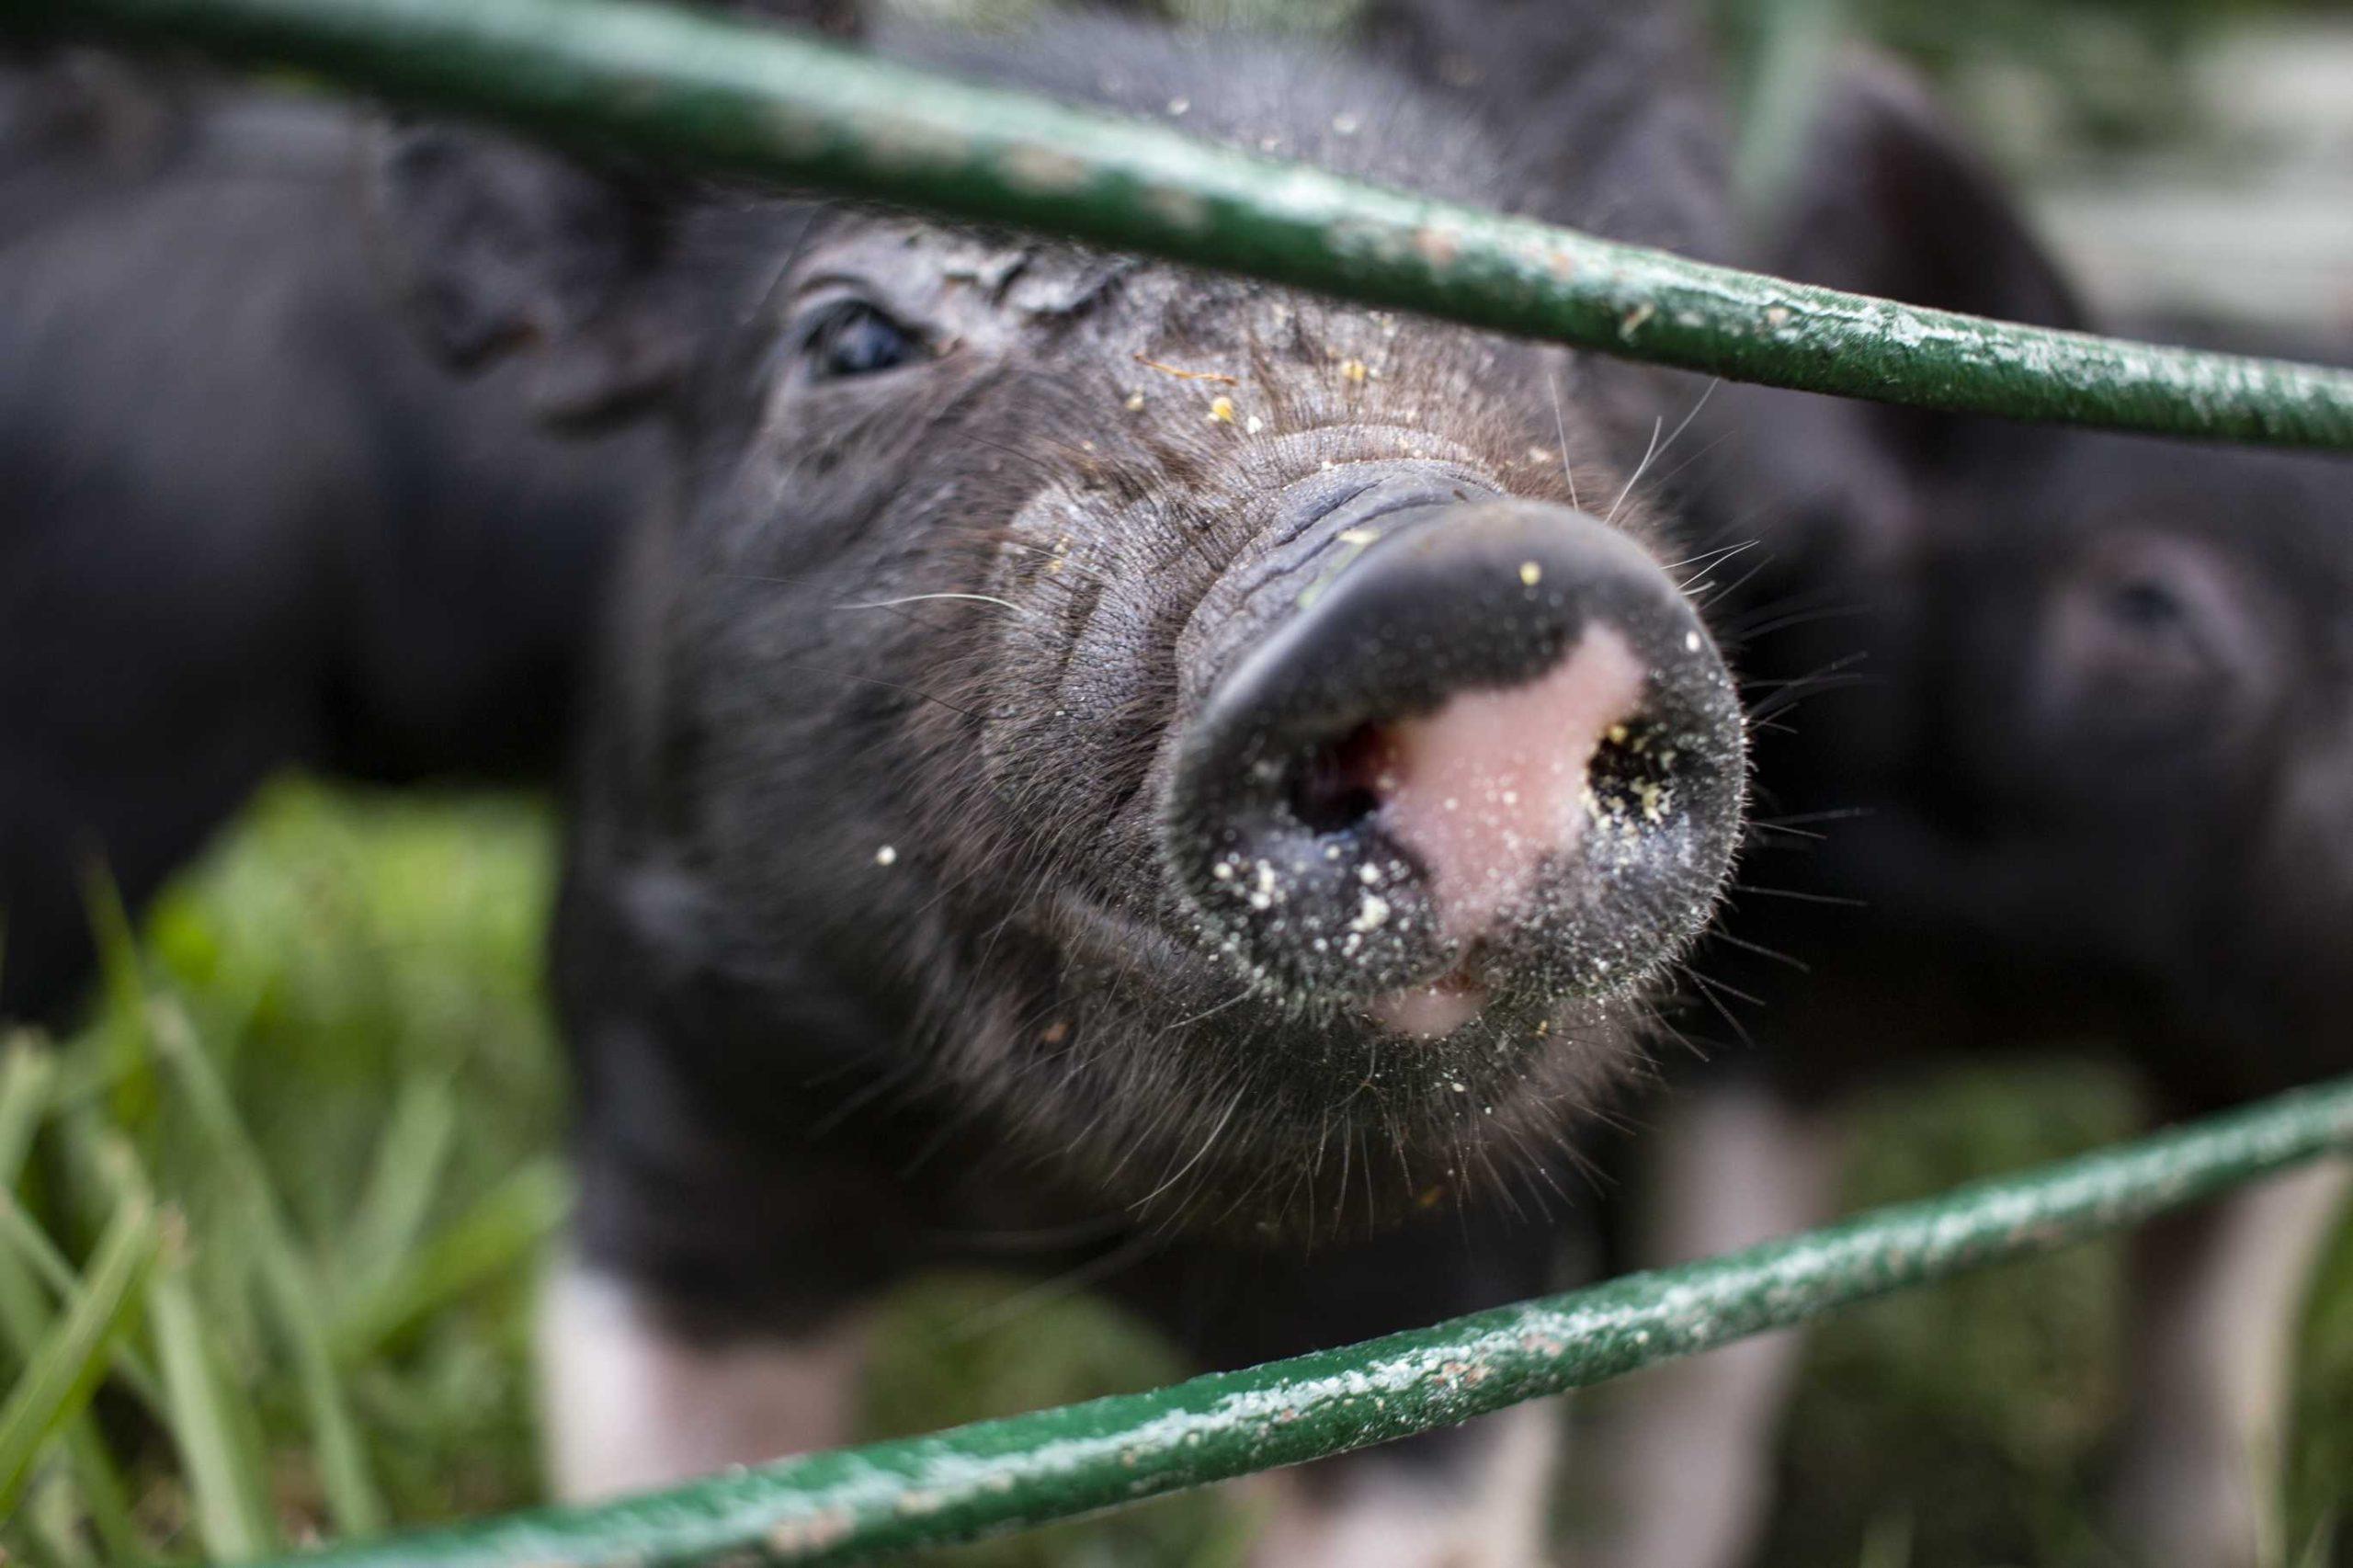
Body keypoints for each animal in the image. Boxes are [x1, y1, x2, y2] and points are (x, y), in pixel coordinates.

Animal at [376, 0, 1759, 1544]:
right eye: (852, 335)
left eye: (1564, 355)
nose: (1477, 573)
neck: (1027, 1210)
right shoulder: (663, 1098)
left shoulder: (1468, 1264)